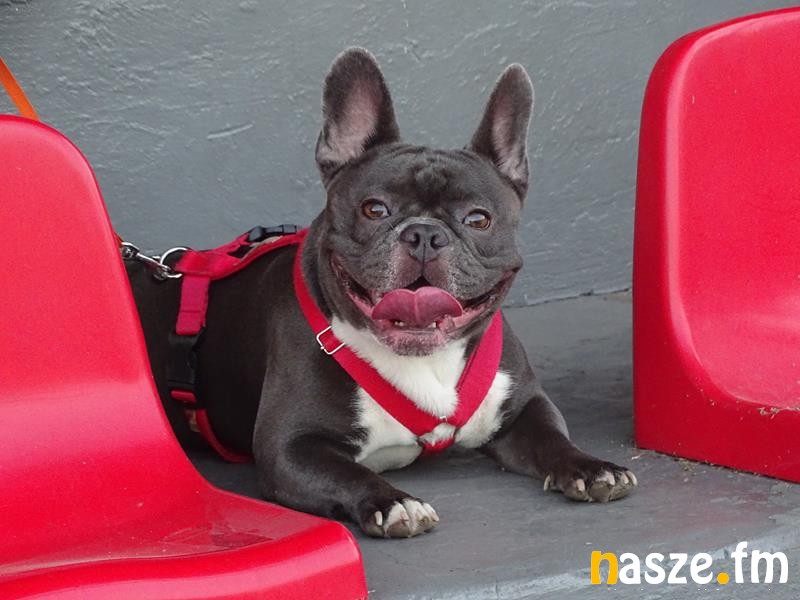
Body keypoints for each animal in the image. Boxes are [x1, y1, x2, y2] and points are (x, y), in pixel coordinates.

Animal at [127, 48, 637, 538]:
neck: (424, 359)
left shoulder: (523, 407)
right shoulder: (292, 446)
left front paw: (590, 466)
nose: (425, 234)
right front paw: (395, 502)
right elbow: (350, 473)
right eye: (374, 209)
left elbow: (553, 436)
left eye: (478, 219)